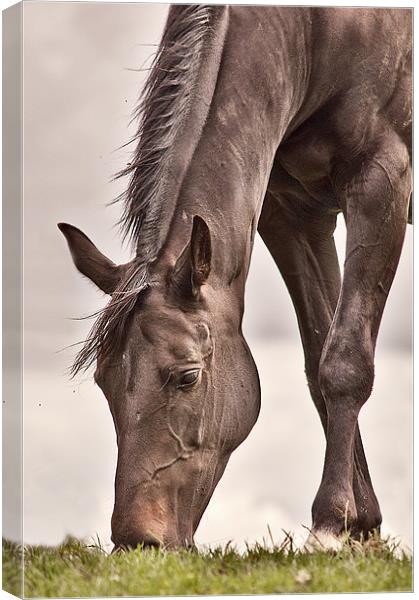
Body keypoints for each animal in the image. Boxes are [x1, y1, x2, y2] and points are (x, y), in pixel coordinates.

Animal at [60, 4, 414, 552]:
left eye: (186, 376)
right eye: (103, 381)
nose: (138, 541)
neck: (313, 30)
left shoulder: (382, 181)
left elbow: (345, 362)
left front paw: (330, 525)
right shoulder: (292, 214)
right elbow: (319, 362)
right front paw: (361, 527)